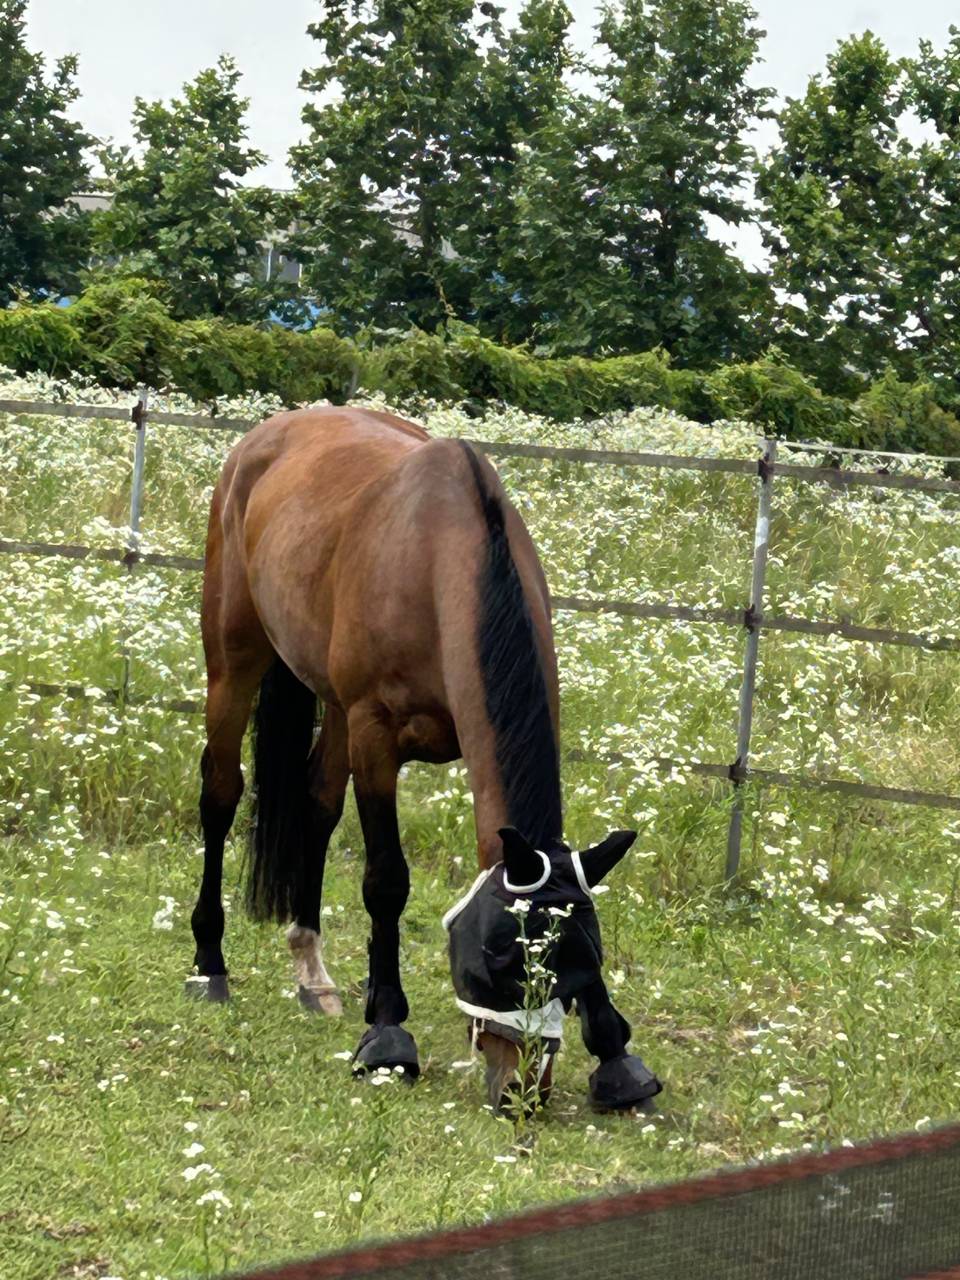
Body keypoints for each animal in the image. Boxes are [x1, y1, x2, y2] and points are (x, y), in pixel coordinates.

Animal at [188, 405, 662, 1111]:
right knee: (220, 793)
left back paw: (311, 970)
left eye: (583, 962)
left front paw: (616, 1055)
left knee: (316, 805)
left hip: (330, 704)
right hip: (235, 660)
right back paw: (208, 964)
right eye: (499, 960)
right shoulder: (375, 735)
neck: (441, 559)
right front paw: (387, 1034)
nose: (525, 1089)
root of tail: (265, 436)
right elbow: (386, 880)